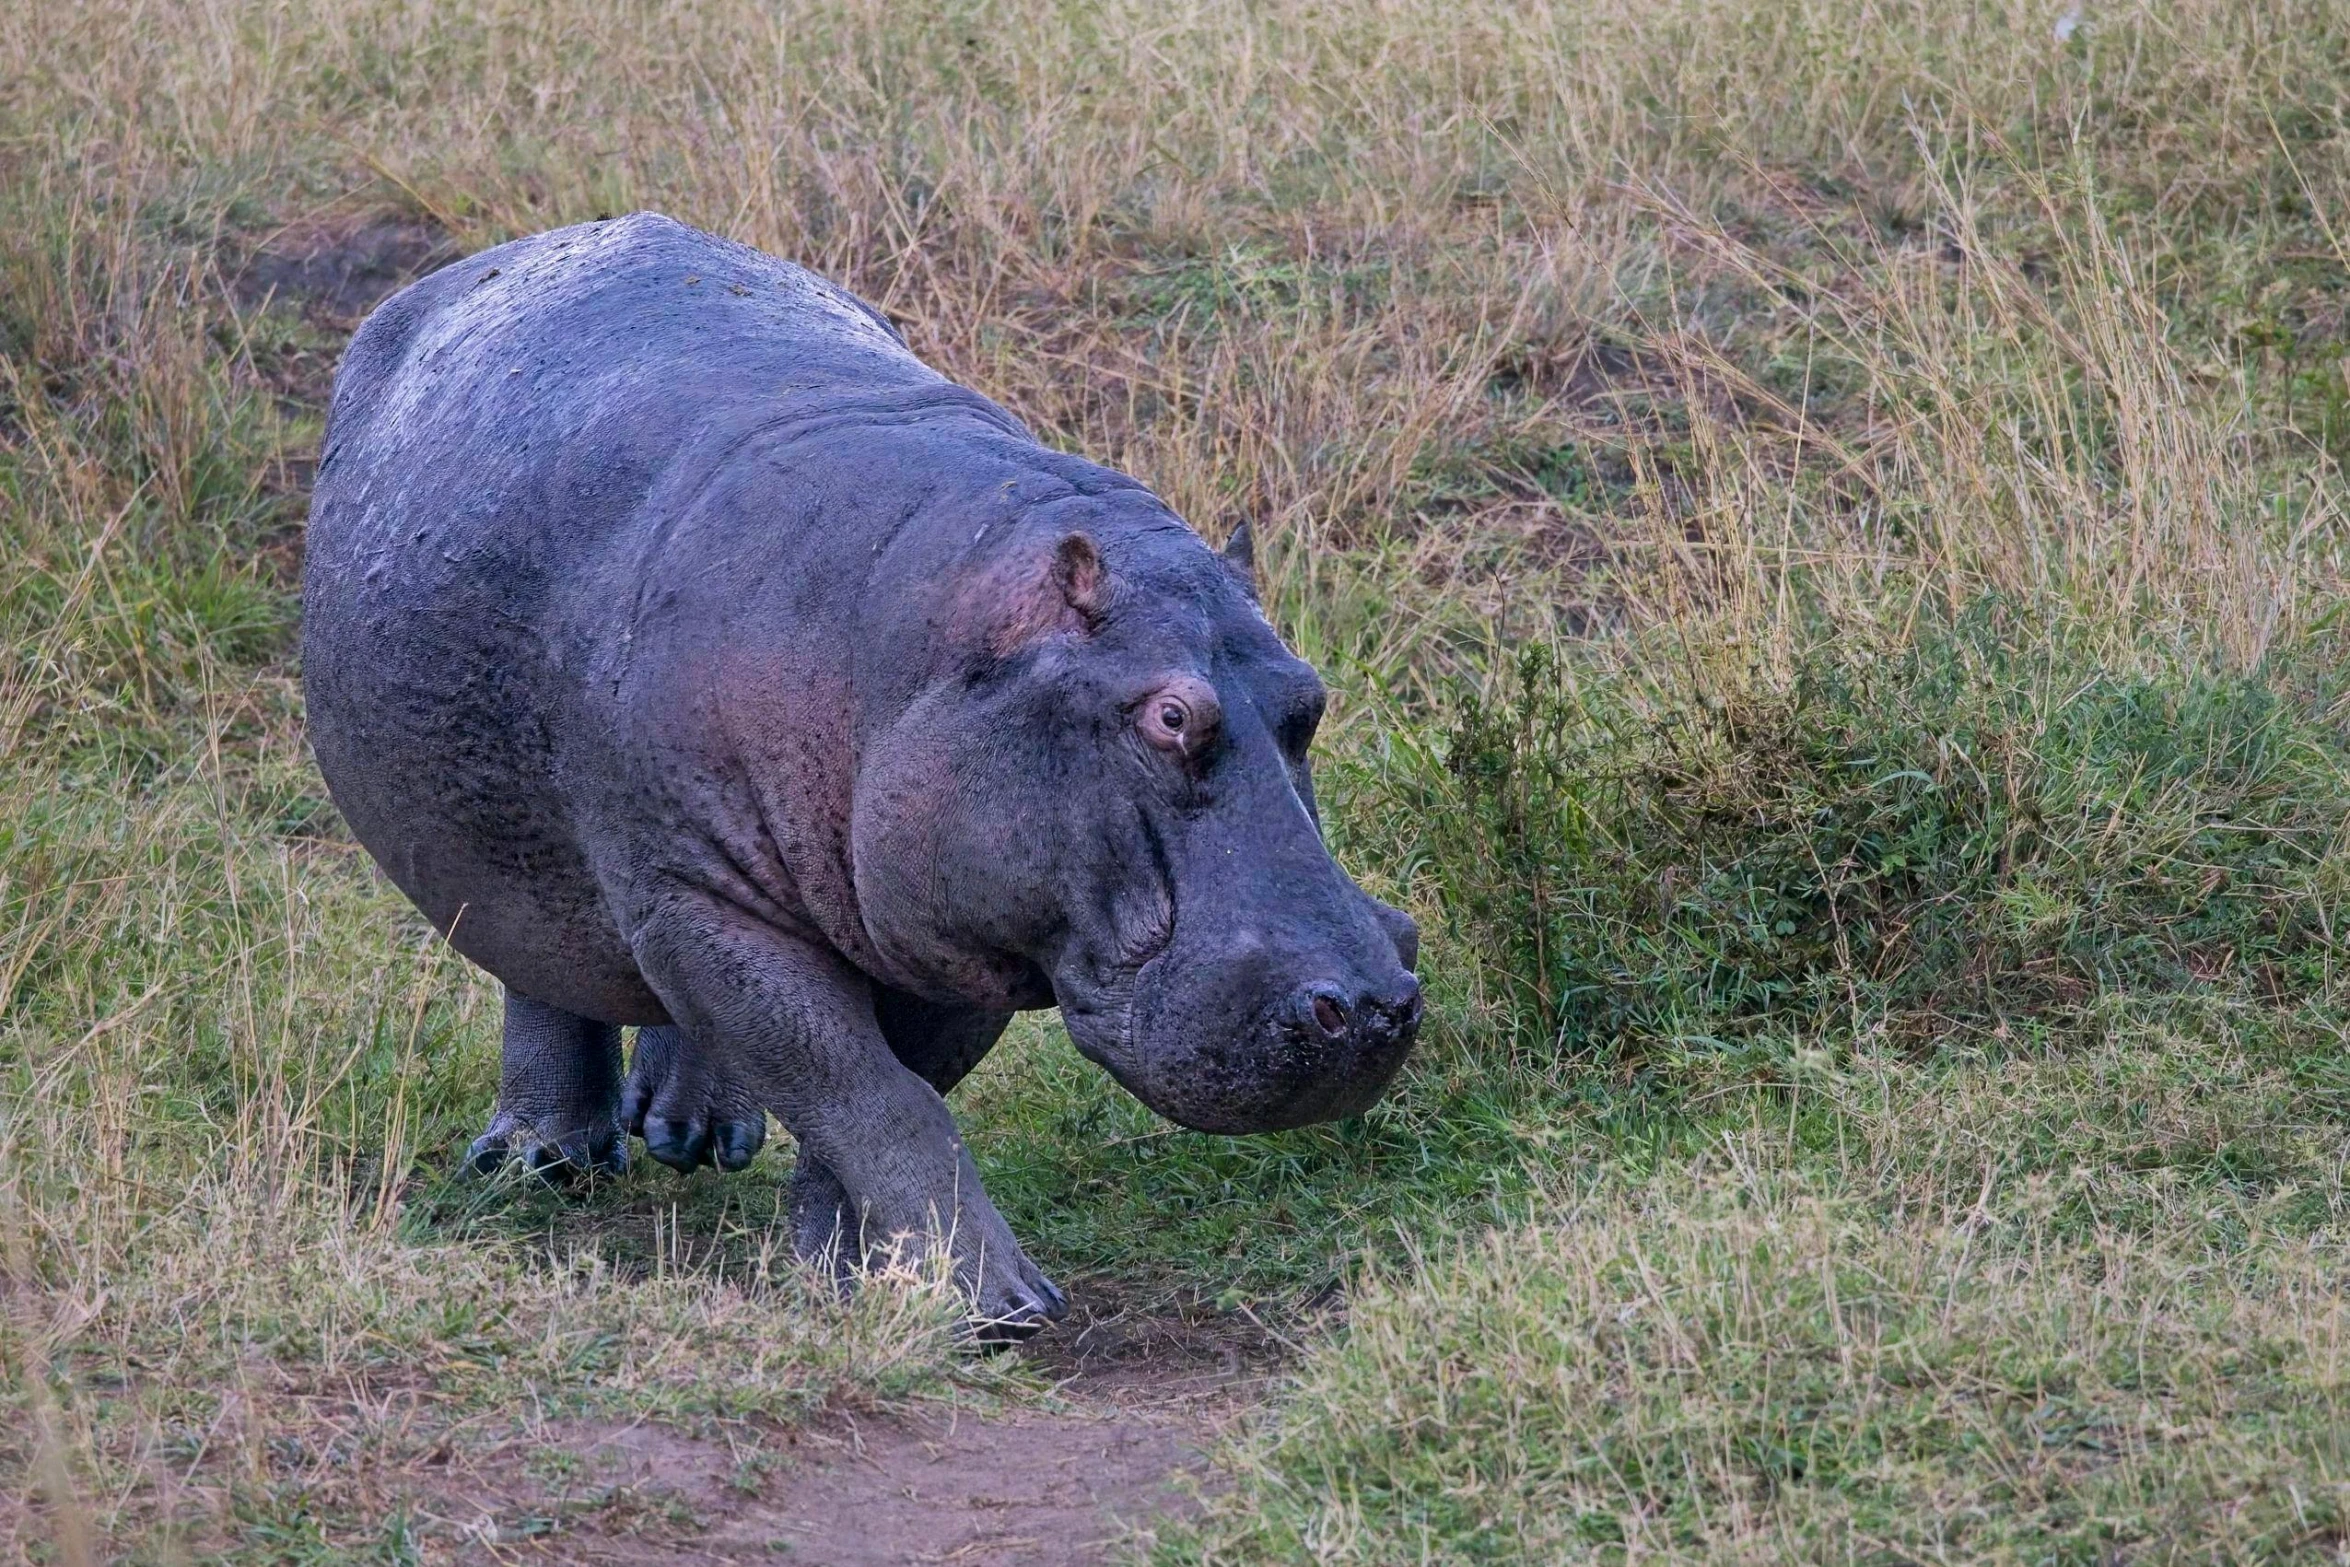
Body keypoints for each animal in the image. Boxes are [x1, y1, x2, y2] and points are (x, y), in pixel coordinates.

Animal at [303, 211, 1419, 1334]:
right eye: (1171, 715)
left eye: (1309, 696)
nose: (1371, 1005)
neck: (928, 628)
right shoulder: (701, 900)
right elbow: (869, 1093)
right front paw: (997, 1305)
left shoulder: (963, 927)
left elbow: (878, 1101)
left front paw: (849, 1278)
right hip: (519, 856)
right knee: (538, 962)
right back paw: (540, 1163)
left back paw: (693, 1136)